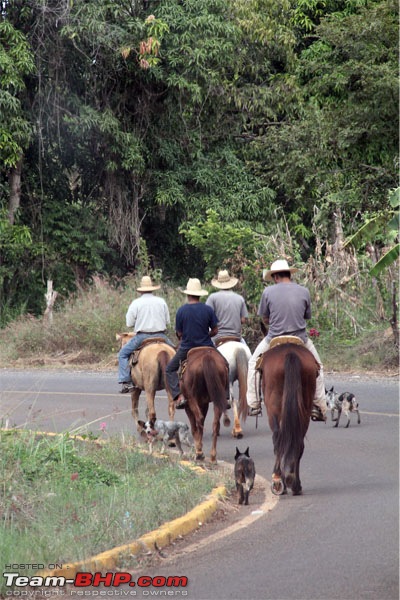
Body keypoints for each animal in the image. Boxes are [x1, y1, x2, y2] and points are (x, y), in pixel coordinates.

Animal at [260, 340, 318, 494]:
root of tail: (290, 353)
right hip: (305, 407)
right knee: (297, 442)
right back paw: (293, 481)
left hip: (273, 407)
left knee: (277, 438)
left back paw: (279, 480)